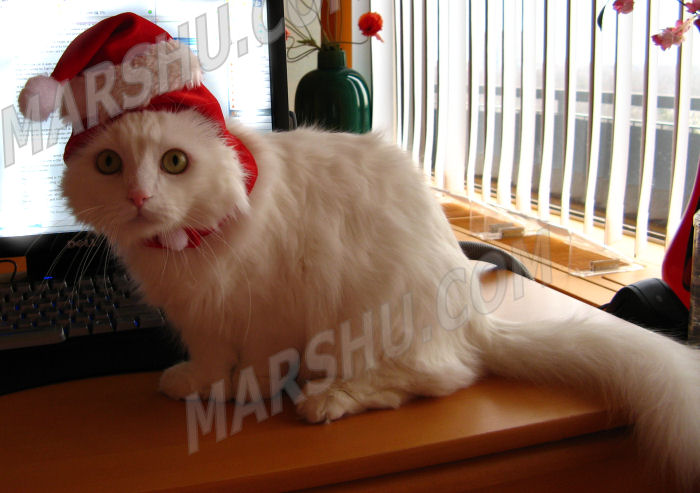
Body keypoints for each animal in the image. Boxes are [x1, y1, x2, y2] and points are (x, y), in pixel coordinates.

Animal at [61, 108, 700, 488]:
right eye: (109, 164)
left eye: (175, 162)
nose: (139, 198)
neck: (187, 247)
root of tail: (471, 314)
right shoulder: (201, 319)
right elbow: (211, 360)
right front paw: (197, 385)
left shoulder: (268, 313)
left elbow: (260, 367)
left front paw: (243, 394)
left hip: (369, 321)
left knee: (439, 378)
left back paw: (325, 399)